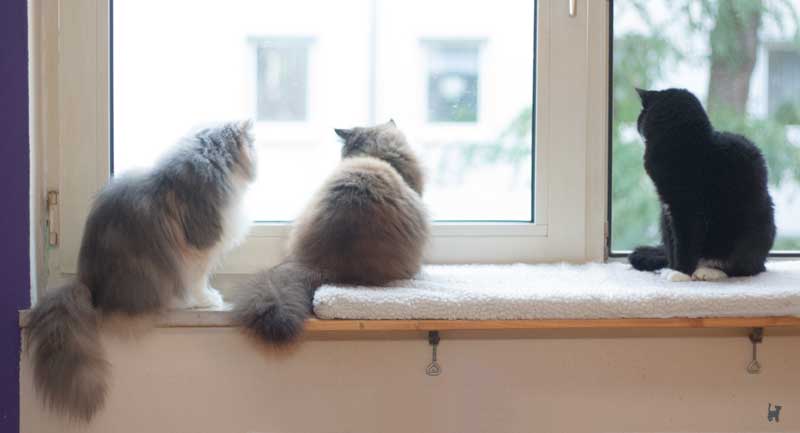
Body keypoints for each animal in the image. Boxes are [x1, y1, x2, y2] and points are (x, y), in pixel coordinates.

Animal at [628, 88, 772, 280]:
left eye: (641, 114)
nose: (637, 123)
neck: (681, 141)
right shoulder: (668, 209)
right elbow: (673, 244)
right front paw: (672, 268)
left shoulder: (687, 209)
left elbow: (685, 243)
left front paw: (680, 272)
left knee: (745, 268)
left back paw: (709, 271)